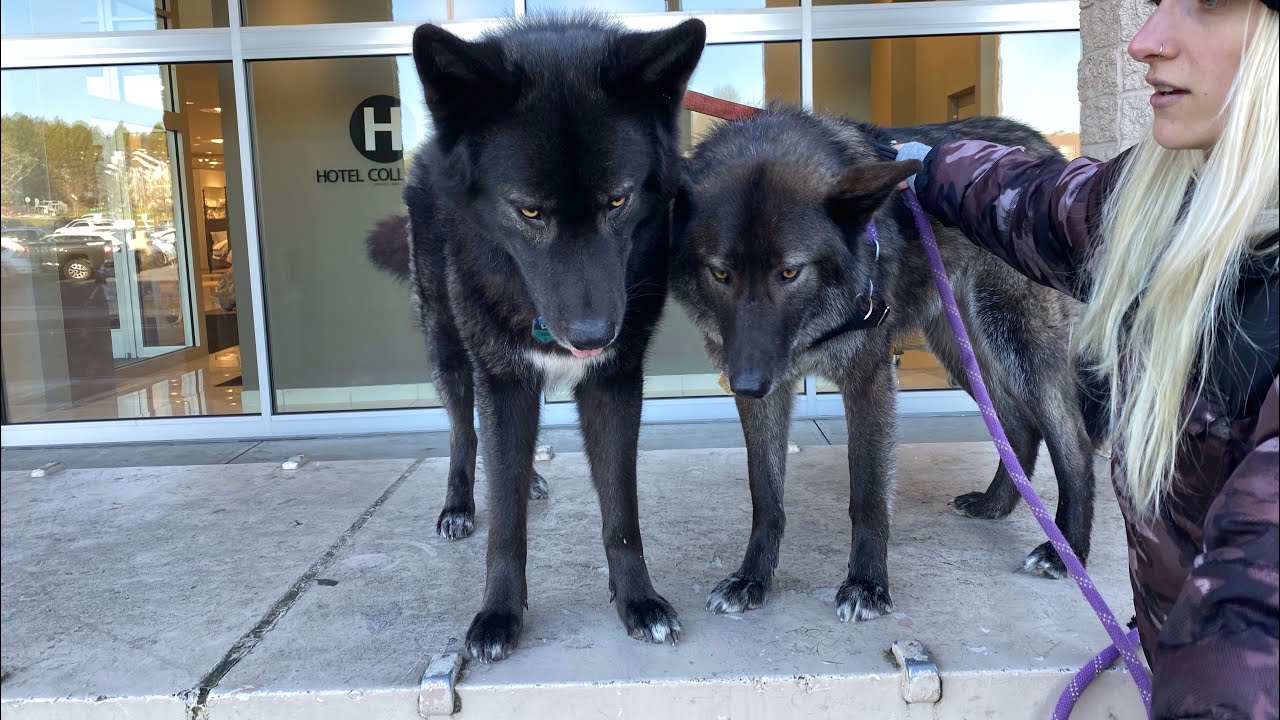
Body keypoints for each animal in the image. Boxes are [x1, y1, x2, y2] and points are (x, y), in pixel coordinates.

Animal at [366, 16, 705, 662]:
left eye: (618, 200)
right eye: (528, 212)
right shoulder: (503, 381)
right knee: (463, 430)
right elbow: (505, 519)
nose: (595, 335)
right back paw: (459, 503)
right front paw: (498, 613)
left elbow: (621, 512)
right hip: (448, 348)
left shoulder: (615, 383)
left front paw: (639, 601)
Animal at [669, 106, 1100, 622]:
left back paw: (1064, 550)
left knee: (1073, 440)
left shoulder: (869, 377)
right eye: (720, 273)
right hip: (961, 349)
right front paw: (752, 578)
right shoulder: (770, 389)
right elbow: (766, 496)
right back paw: (995, 504)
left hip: (1017, 341)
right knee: (1017, 424)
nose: (746, 383)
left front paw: (867, 583)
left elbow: (869, 495)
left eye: (790, 271)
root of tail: (1044, 148)